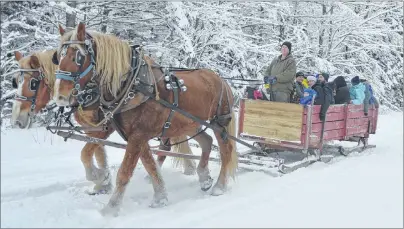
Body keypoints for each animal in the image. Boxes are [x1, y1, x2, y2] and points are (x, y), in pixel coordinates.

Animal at [9, 48, 197, 197]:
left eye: (33, 83)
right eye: (15, 82)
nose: (17, 120)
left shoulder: (105, 128)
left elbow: (86, 152)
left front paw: (99, 178)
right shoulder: (93, 128)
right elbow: (98, 152)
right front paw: (103, 183)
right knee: (168, 146)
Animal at [52, 22, 238, 216]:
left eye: (78, 57)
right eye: (58, 57)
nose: (60, 96)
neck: (132, 85)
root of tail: (221, 79)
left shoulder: (138, 135)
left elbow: (125, 172)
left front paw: (111, 208)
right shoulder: (125, 132)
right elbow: (147, 165)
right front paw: (159, 197)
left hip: (219, 123)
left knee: (226, 151)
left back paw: (219, 186)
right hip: (190, 123)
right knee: (207, 141)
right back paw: (204, 177)